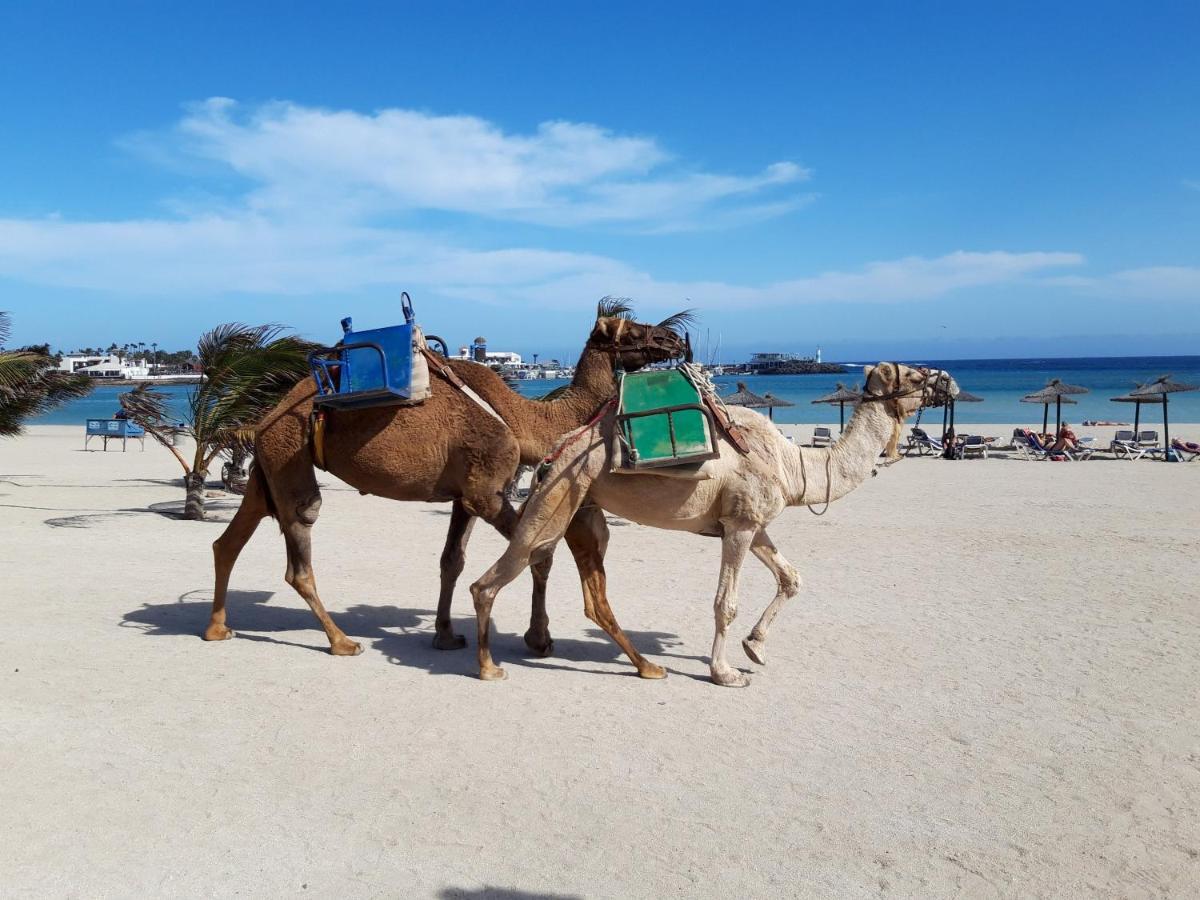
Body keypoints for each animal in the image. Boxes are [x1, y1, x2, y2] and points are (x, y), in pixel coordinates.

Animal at [208, 303, 686, 657]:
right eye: (632, 330)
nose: (674, 338)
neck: (522, 419)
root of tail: (263, 419)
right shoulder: (488, 491)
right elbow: (539, 555)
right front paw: (539, 639)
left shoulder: (465, 494)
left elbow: (451, 560)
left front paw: (445, 635)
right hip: (289, 453)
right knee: (300, 545)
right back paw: (341, 641)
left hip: (270, 464)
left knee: (229, 540)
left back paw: (217, 628)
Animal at [465, 362, 955, 686]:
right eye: (914, 376)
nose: (949, 380)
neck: (794, 464)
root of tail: (558, 450)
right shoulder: (739, 525)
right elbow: (725, 603)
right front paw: (725, 672)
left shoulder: (753, 523)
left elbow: (792, 578)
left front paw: (755, 647)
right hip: (558, 495)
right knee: (497, 575)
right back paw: (489, 666)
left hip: (583, 509)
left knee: (584, 589)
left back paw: (643, 665)